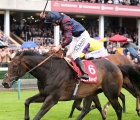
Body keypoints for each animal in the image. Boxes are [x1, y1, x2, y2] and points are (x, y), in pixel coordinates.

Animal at [1, 50, 140, 120]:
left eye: (15, 66)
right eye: (8, 65)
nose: (5, 83)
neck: (50, 71)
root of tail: (117, 66)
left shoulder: (53, 98)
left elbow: (38, 115)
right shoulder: (44, 94)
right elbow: (27, 101)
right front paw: (26, 116)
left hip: (111, 93)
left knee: (119, 108)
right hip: (92, 93)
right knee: (85, 110)